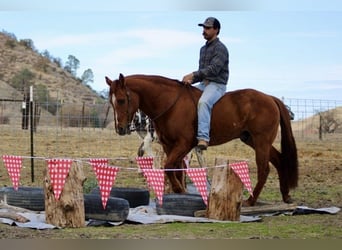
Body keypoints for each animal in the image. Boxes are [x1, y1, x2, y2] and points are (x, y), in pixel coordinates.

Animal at [105, 73, 298, 206]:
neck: (171, 104)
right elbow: (175, 169)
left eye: (121, 100)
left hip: (261, 141)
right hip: (252, 140)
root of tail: (269, 98)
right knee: (279, 160)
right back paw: (285, 195)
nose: (120, 129)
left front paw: (178, 189)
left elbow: (169, 165)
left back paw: (251, 200)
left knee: (264, 169)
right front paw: (180, 191)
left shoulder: (184, 144)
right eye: (112, 102)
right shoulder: (169, 145)